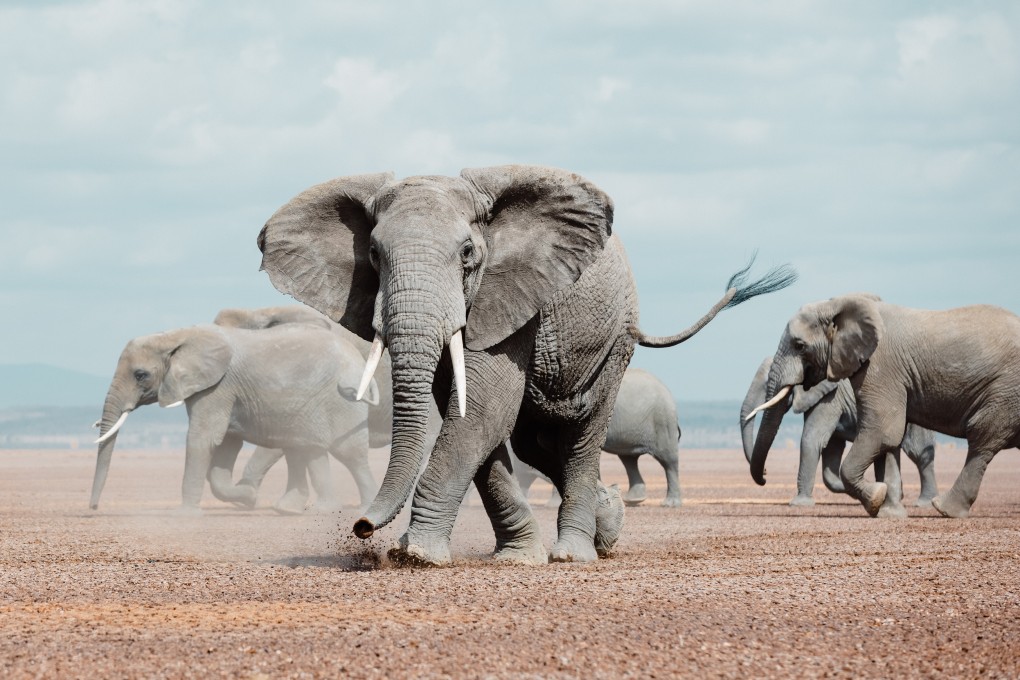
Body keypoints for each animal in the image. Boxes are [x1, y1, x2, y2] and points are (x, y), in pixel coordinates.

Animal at [90, 322, 378, 514]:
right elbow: (226, 445)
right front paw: (249, 498)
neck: (177, 335)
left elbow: (203, 439)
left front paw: (185, 514)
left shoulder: (218, 387)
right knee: (307, 450)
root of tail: (360, 362)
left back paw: (363, 509)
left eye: (140, 375)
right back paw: (304, 510)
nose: (93, 508)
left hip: (342, 402)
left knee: (349, 454)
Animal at [740, 356, 938, 510]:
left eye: (769, 384)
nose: (765, 473)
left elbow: (811, 439)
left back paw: (924, 504)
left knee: (918, 452)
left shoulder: (830, 398)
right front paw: (869, 490)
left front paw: (799, 504)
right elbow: (832, 450)